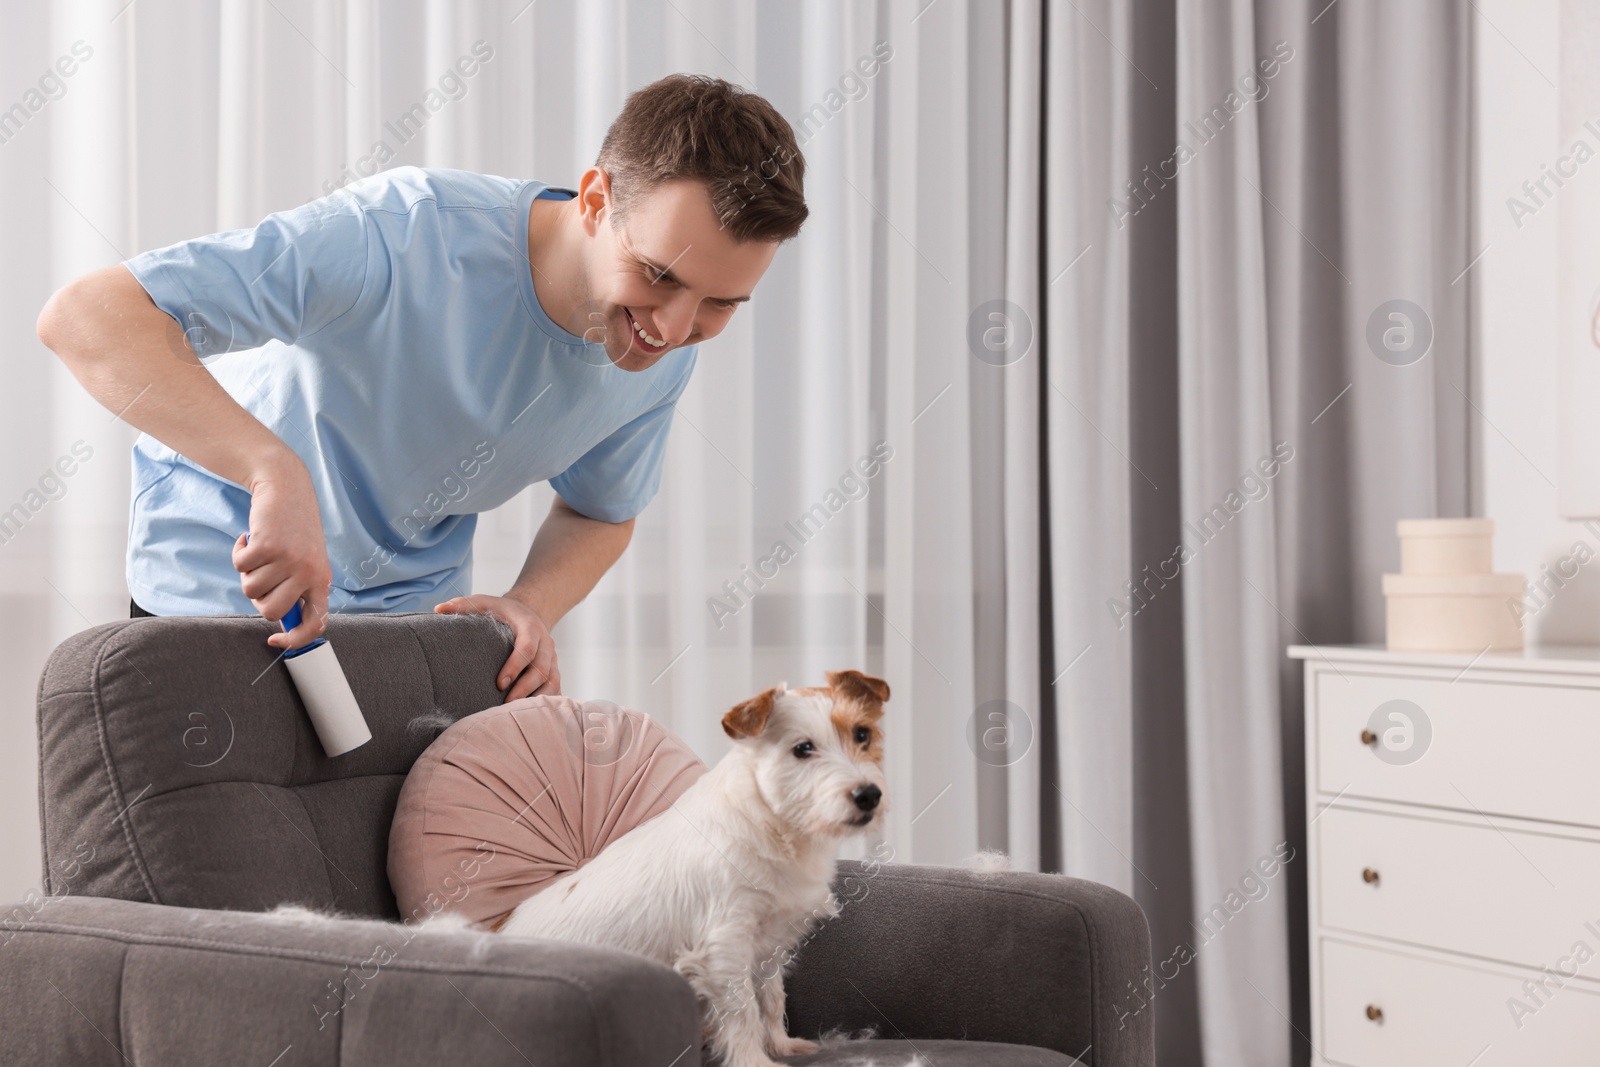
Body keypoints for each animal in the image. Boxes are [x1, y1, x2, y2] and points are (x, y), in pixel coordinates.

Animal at [489, 668, 889, 1067]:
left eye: (862, 735)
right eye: (803, 748)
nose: (869, 795)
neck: (773, 822)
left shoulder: (768, 948)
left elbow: (772, 999)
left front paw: (780, 1044)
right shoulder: (725, 947)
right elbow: (744, 1012)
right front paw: (754, 1060)